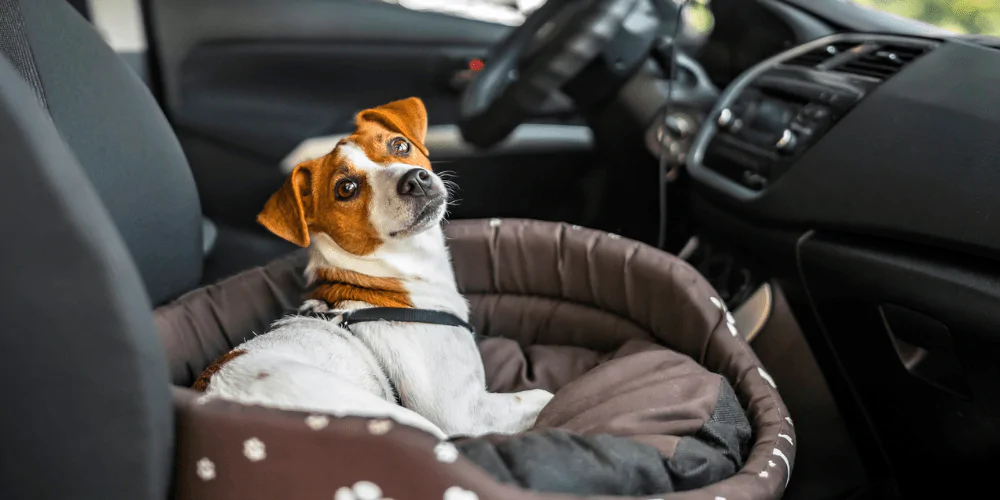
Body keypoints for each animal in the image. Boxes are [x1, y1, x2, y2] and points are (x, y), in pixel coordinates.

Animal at [191, 97, 556, 438]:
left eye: (400, 145)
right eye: (346, 188)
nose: (416, 180)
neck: (395, 275)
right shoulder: (464, 413)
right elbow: (544, 395)